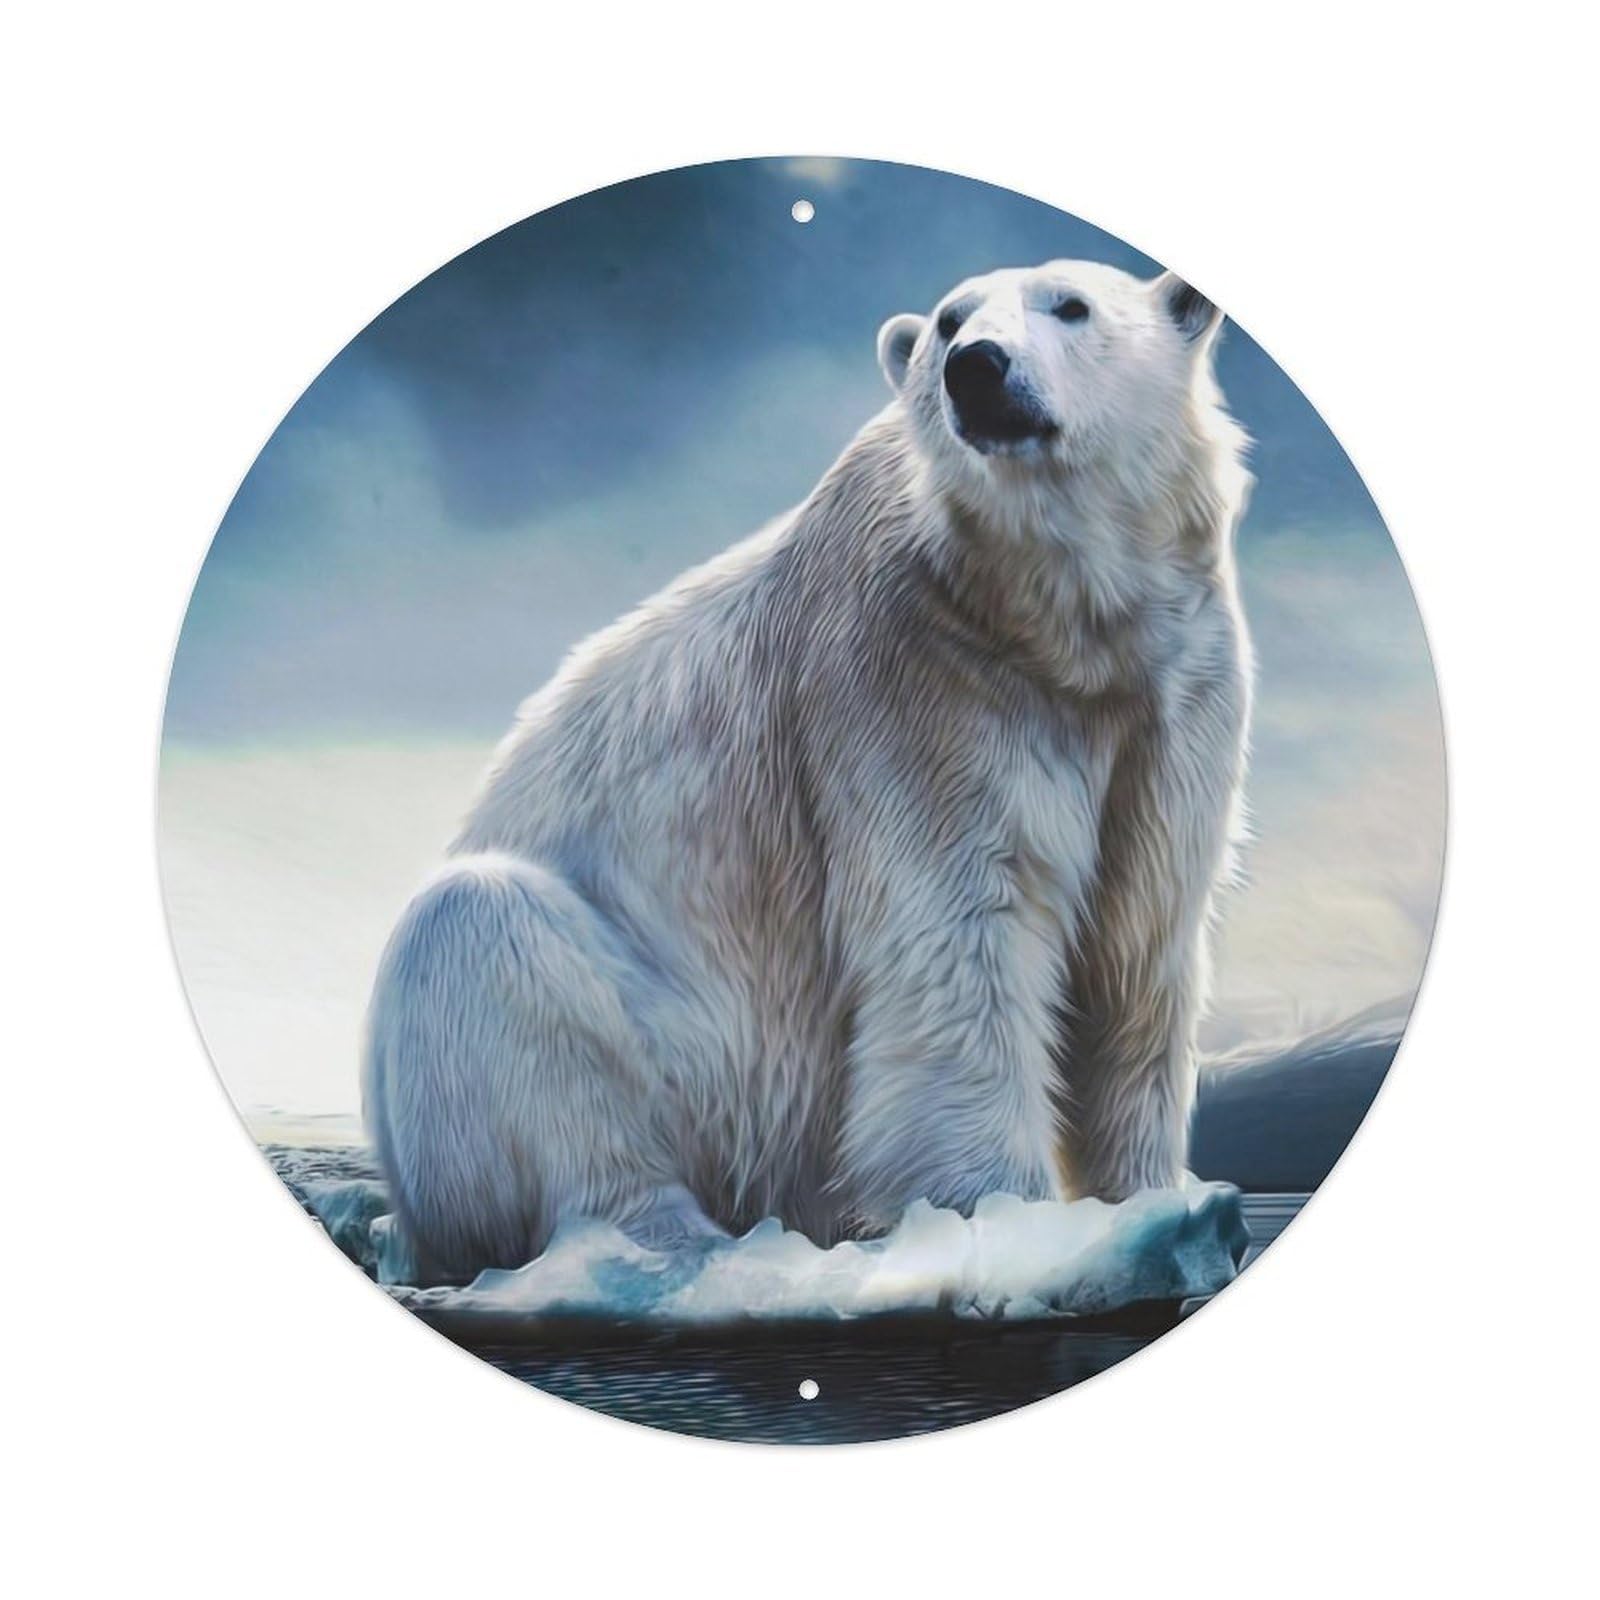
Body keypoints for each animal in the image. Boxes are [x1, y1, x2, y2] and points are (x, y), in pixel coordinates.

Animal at [363, 258, 1254, 1281]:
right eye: (948, 322)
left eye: (1071, 306)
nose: (977, 367)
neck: (1051, 622)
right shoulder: (914, 678)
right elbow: (957, 946)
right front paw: (1003, 1219)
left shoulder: (1174, 694)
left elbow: (1137, 947)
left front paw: (1144, 1201)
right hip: (688, 1061)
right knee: (481, 942)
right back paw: (671, 1238)